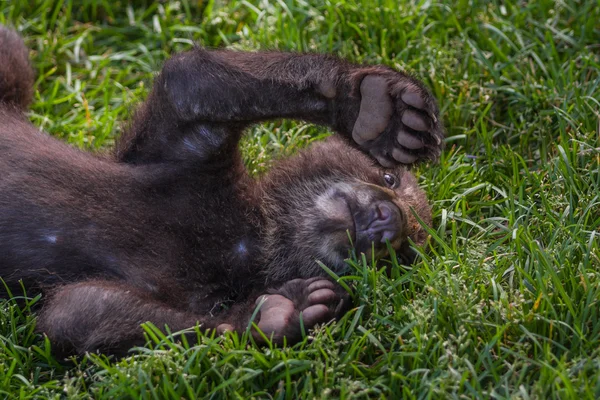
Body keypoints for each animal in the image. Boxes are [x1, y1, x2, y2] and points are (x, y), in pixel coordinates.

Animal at [0, 26, 440, 354]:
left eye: (404, 253)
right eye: (390, 178)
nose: (389, 219)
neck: (248, 235)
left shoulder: (186, 292)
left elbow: (75, 312)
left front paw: (277, 312)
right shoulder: (184, 150)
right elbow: (194, 79)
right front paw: (375, 107)